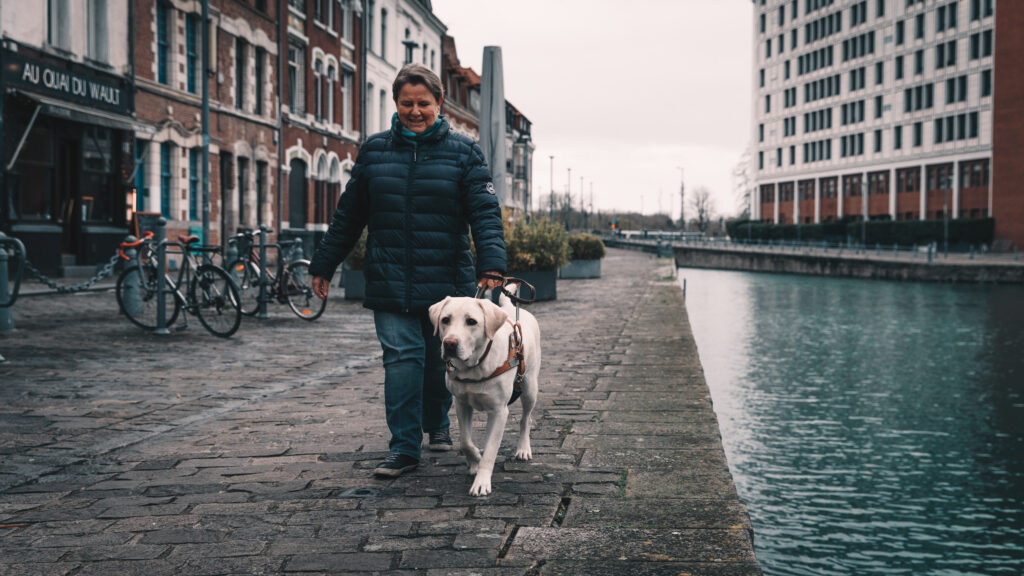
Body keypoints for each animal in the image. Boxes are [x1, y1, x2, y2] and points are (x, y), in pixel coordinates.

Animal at [428, 289, 540, 496]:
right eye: (445, 320)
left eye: (471, 321)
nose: (449, 344)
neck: (474, 366)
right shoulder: (462, 404)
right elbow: (465, 442)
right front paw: (475, 462)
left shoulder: (499, 411)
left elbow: (490, 452)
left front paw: (481, 482)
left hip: (529, 388)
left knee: (525, 419)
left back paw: (523, 449)